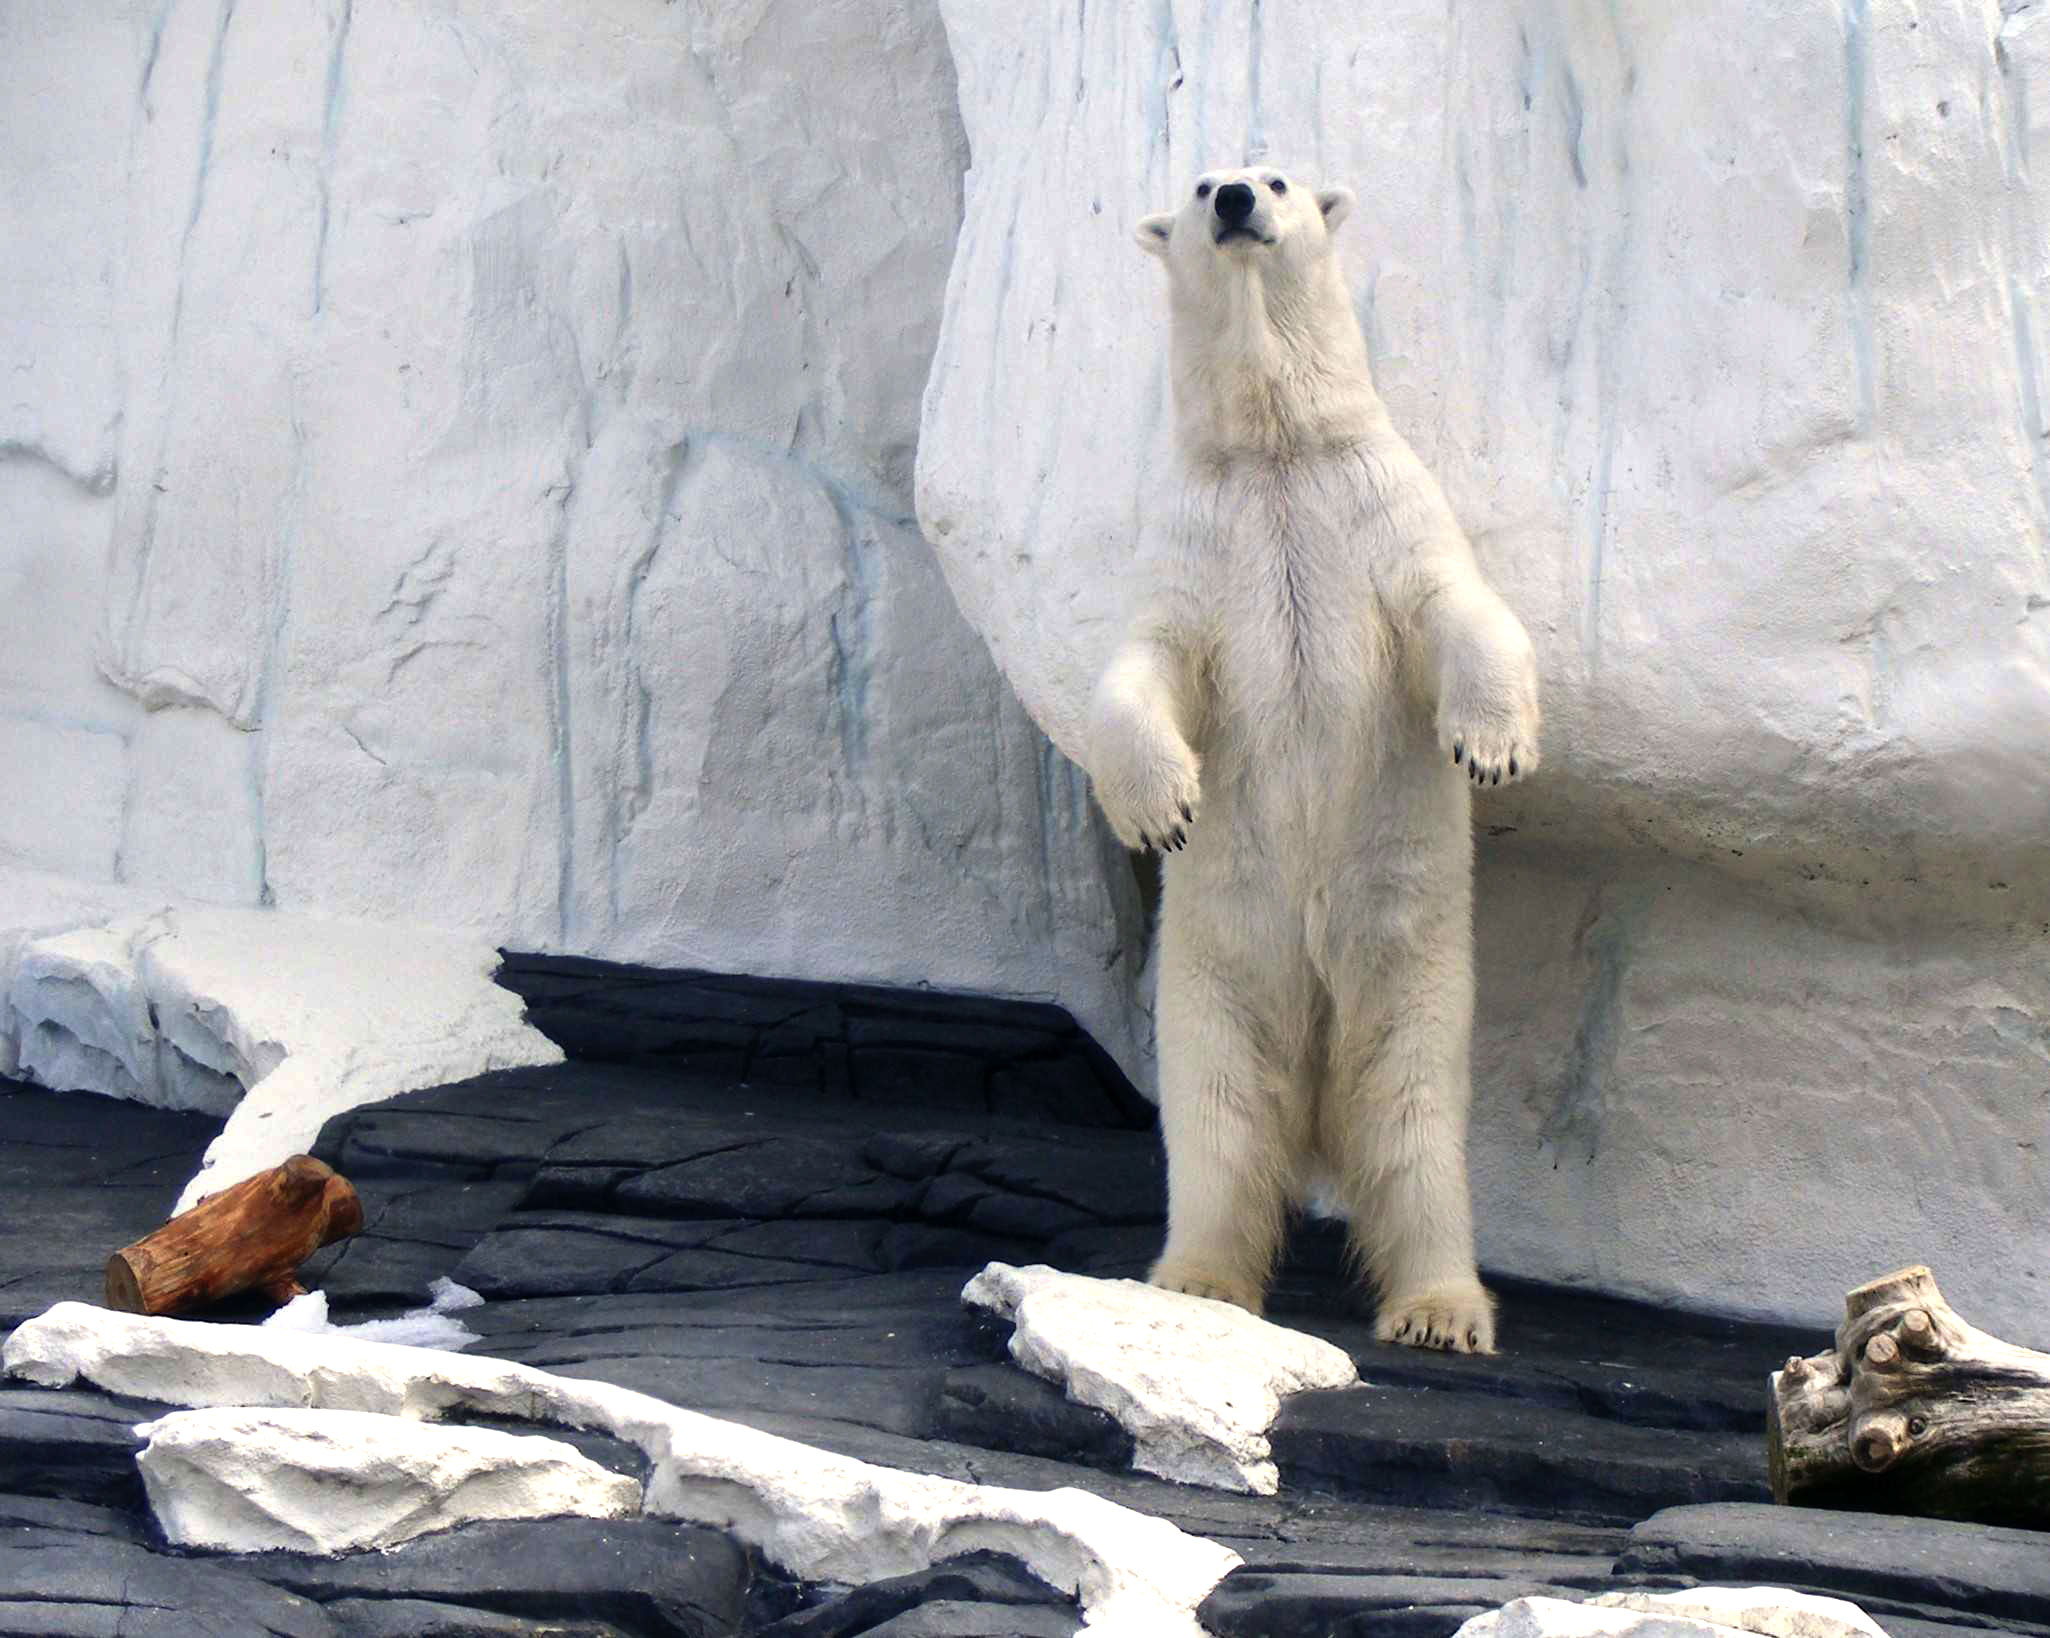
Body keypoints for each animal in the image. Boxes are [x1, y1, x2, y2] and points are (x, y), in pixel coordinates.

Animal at [1090, 166, 1541, 1353]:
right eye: (1202, 179)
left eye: (1278, 174)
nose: (1238, 200)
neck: (1275, 452)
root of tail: (1316, 1124)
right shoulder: (1200, 539)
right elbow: (1141, 666)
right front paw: (1160, 809)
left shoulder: (1377, 508)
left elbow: (1459, 609)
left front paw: (1492, 746)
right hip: (1213, 986)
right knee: (1219, 1127)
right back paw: (1198, 1280)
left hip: (1413, 980)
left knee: (1412, 1129)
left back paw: (1439, 1307)